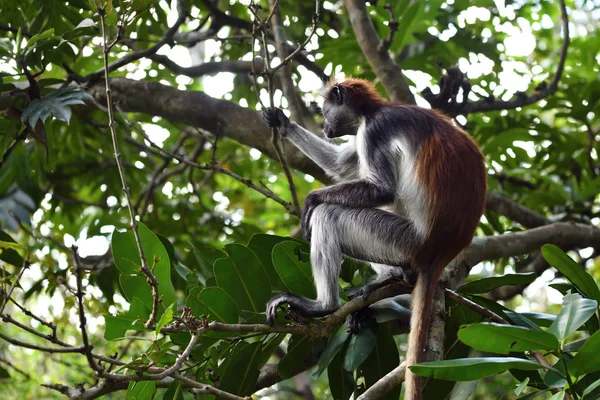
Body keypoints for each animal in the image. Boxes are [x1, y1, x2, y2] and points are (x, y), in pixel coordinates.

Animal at [262, 79, 488, 400]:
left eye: (324, 111)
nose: (324, 126)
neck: (375, 109)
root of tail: (441, 252)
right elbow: (341, 165)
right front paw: (281, 121)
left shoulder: (374, 130)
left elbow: (381, 190)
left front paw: (312, 199)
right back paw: (388, 282)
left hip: (402, 239)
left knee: (329, 215)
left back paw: (325, 305)